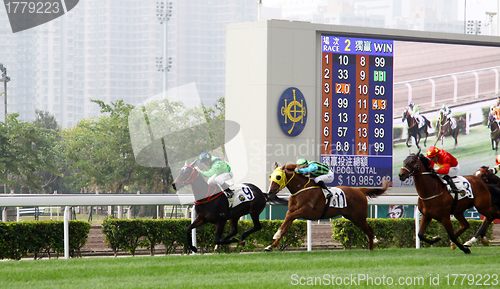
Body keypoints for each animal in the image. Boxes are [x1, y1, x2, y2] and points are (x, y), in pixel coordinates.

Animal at [264, 162, 392, 250]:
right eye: (270, 176)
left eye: (278, 177)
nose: (269, 193)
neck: (301, 189)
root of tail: (359, 190)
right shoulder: (291, 211)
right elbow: (286, 223)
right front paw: (270, 246)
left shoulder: (307, 211)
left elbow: (288, 219)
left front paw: (276, 234)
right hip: (353, 217)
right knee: (368, 230)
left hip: (358, 217)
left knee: (369, 230)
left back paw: (372, 249)